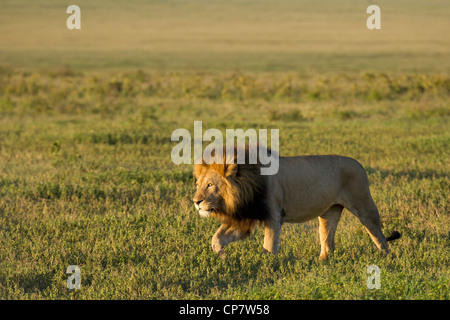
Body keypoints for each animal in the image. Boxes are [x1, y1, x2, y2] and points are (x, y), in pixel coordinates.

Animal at [192, 148, 400, 260]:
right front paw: (222, 257)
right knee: (328, 240)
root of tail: (358, 163)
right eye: (198, 185)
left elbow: (269, 245)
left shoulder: (273, 216)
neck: (246, 187)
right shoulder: (244, 217)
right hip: (329, 212)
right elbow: (217, 238)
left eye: (210, 185)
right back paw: (322, 262)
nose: (196, 202)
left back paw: (387, 260)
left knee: (378, 236)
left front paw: (268, 266)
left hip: (364, 205)